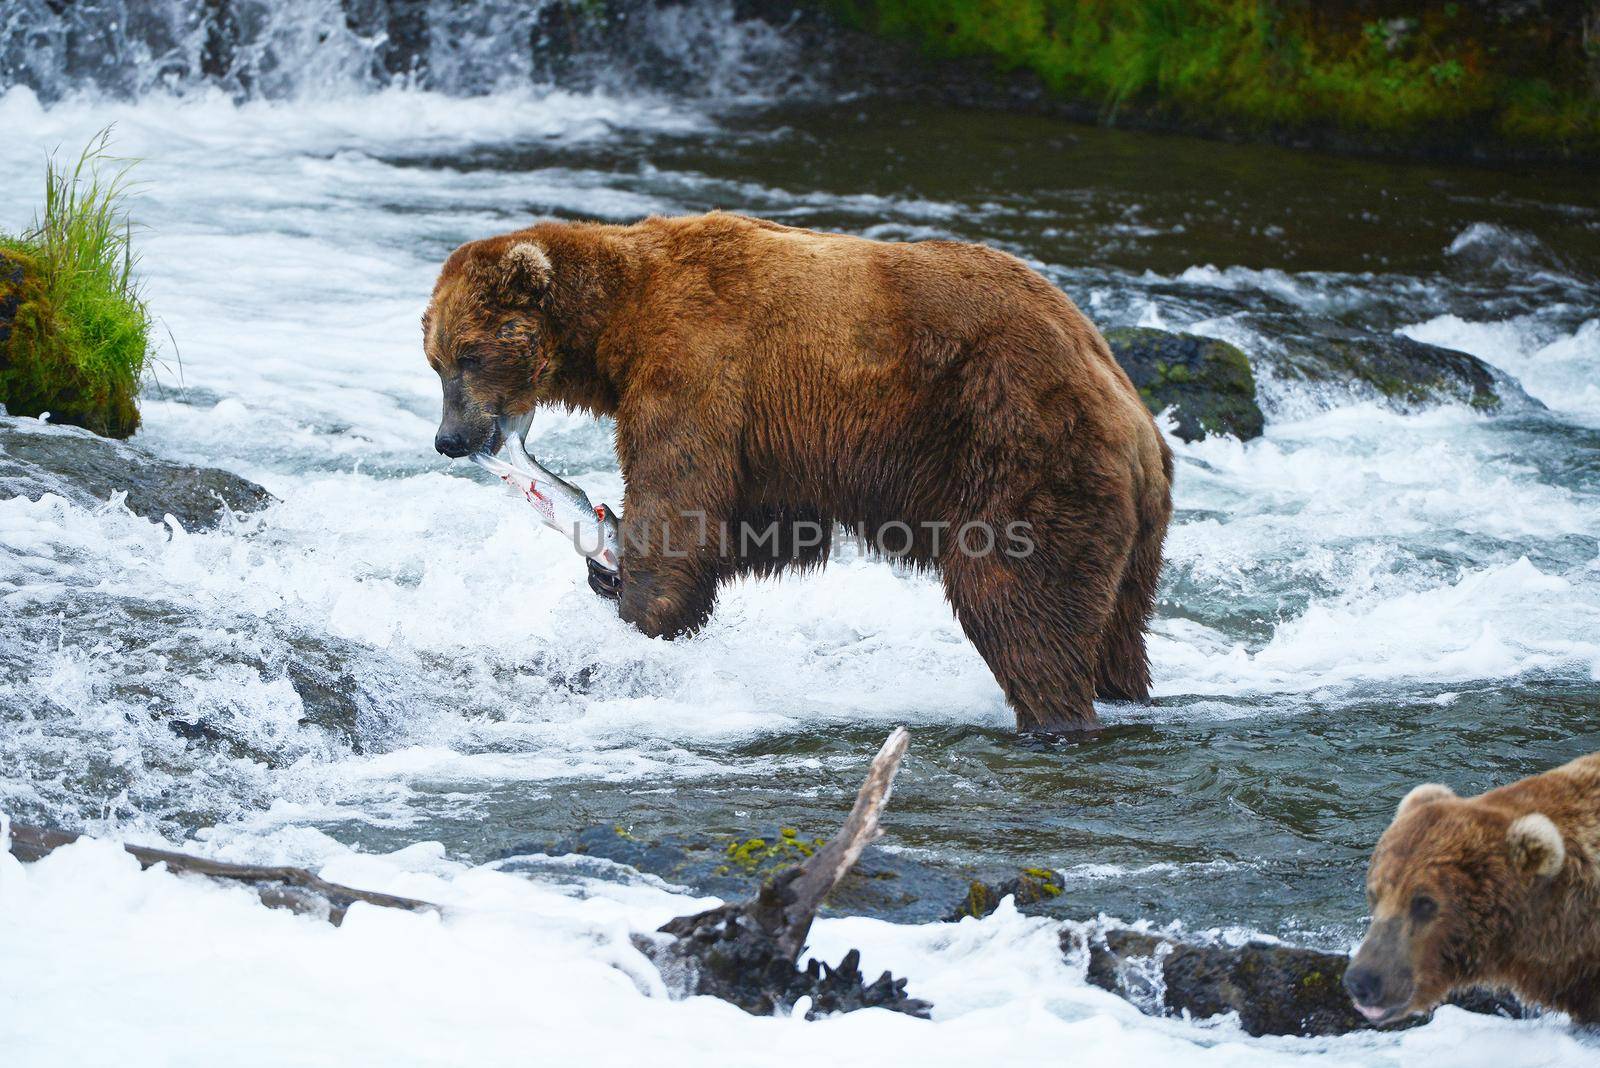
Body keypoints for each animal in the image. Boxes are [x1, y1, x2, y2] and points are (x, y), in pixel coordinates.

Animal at [425, 217, 1177, 735]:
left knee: (1018, 597)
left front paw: (638, 607)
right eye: (434, 360)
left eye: (468, 354)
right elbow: (762, 526)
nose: (450, 440)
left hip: (1020, 442)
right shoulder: (772, 440)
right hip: (1133, 524)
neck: (616, 330)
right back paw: (1126, 691)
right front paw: (606, 569)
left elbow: (681, 501)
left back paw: (1052, 715)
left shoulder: (697, 369)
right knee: (1119, 625)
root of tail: (1127, 405)